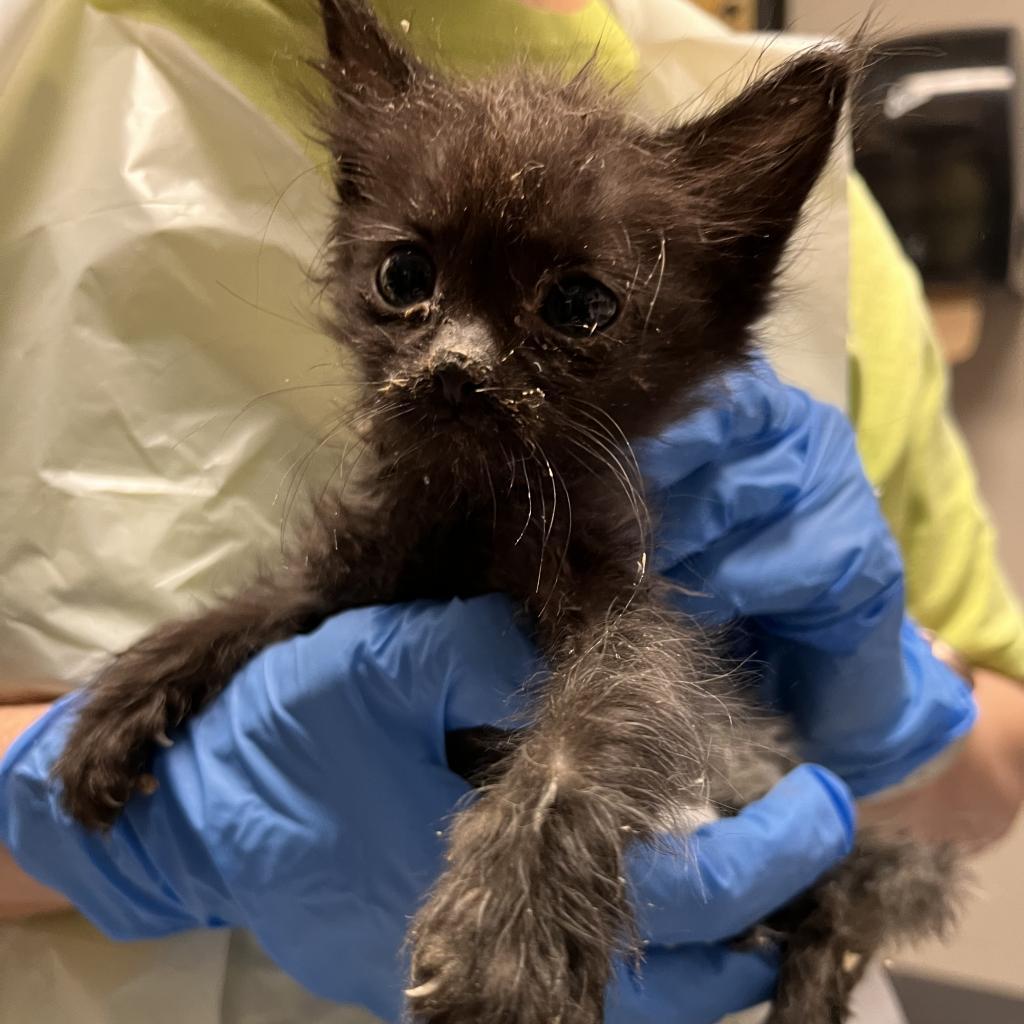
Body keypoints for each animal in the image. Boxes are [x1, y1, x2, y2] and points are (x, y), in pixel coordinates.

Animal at [56, 2, 962, 1024]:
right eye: (405, 277)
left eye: (577, 305)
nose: (457, 367)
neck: (474, 520)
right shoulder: (364, 566)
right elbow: (269, 601)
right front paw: (126, 701)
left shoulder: (627, 614)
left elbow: (591, 733)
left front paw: (510, 929)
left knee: (847, 898)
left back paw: (805, 979)